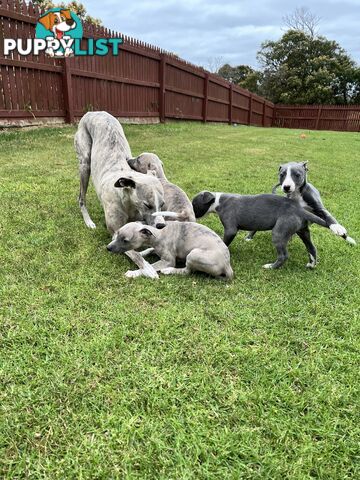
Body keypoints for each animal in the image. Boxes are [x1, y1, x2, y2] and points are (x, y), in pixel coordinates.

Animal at [193, 191, 336, 270]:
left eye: (194, 204)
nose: (193, 216)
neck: (218, 201)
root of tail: (299, 210)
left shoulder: (230, 229)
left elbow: (225, 242)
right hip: (303, 231)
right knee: (312, 248)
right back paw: (311, 265)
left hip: (279, 233)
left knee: (283, 256)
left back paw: (271, 267)